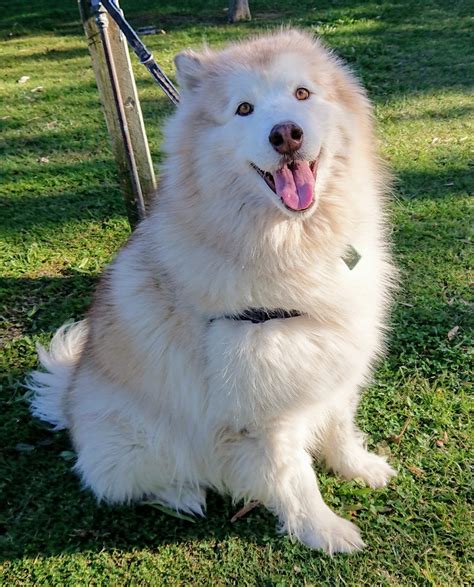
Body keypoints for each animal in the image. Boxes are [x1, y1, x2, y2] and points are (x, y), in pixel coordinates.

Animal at [27, 31, 396, 556]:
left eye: (302, 93)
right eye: (243, 109)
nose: (286, 134)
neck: (290, 242)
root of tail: (69, 400)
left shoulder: (333, 358)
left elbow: (339, 424)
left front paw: (358, 467)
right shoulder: (264, 412)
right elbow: (295, 476)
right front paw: (322, 530)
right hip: (137, 440)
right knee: (122, 482)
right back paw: (183, 494)